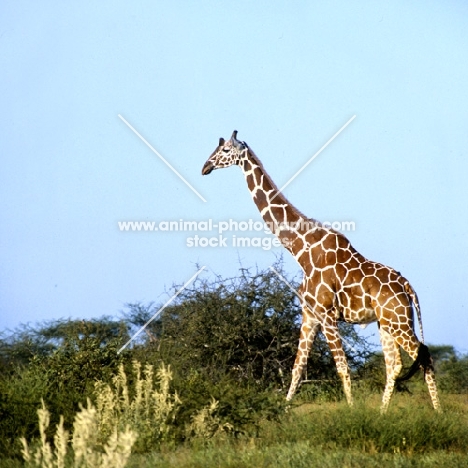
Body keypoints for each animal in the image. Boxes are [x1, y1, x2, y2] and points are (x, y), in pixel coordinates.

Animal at [200, 130, 438, 412]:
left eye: (225, 150)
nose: (205, 167)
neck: (301, 249)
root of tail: (408, 286)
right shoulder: (309, 314)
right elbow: (297, 367)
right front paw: (284, 409)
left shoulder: (327, 315)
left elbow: (342, 368)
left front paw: (352, 411)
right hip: (387, 322)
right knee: (395, 365)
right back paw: (382, 414)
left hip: (398, 320)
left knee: (425, 357)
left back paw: (438, 412)